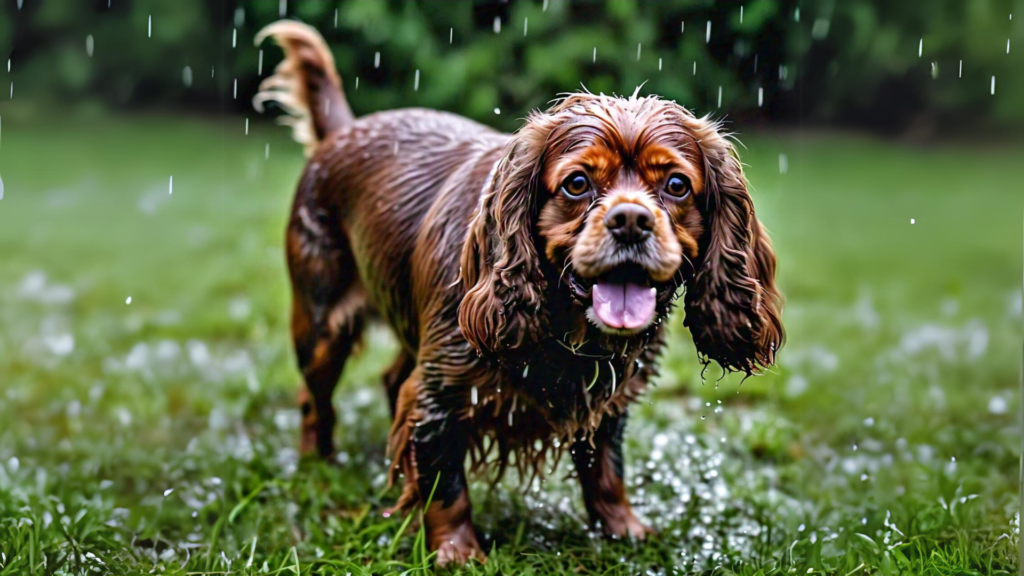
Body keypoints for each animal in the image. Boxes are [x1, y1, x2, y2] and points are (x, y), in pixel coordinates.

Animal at [256, 20, 782, 561]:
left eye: (677, 185)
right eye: (577, 183)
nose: (631, 221)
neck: (564, 325)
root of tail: (343, 131)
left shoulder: (608, 401)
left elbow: (606, 469)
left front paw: (623, 530)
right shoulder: (440, 389)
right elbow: (445, 483)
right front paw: (458, 553)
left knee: (389, 379)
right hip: (321, 328)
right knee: (315, 401)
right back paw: (318, 464)